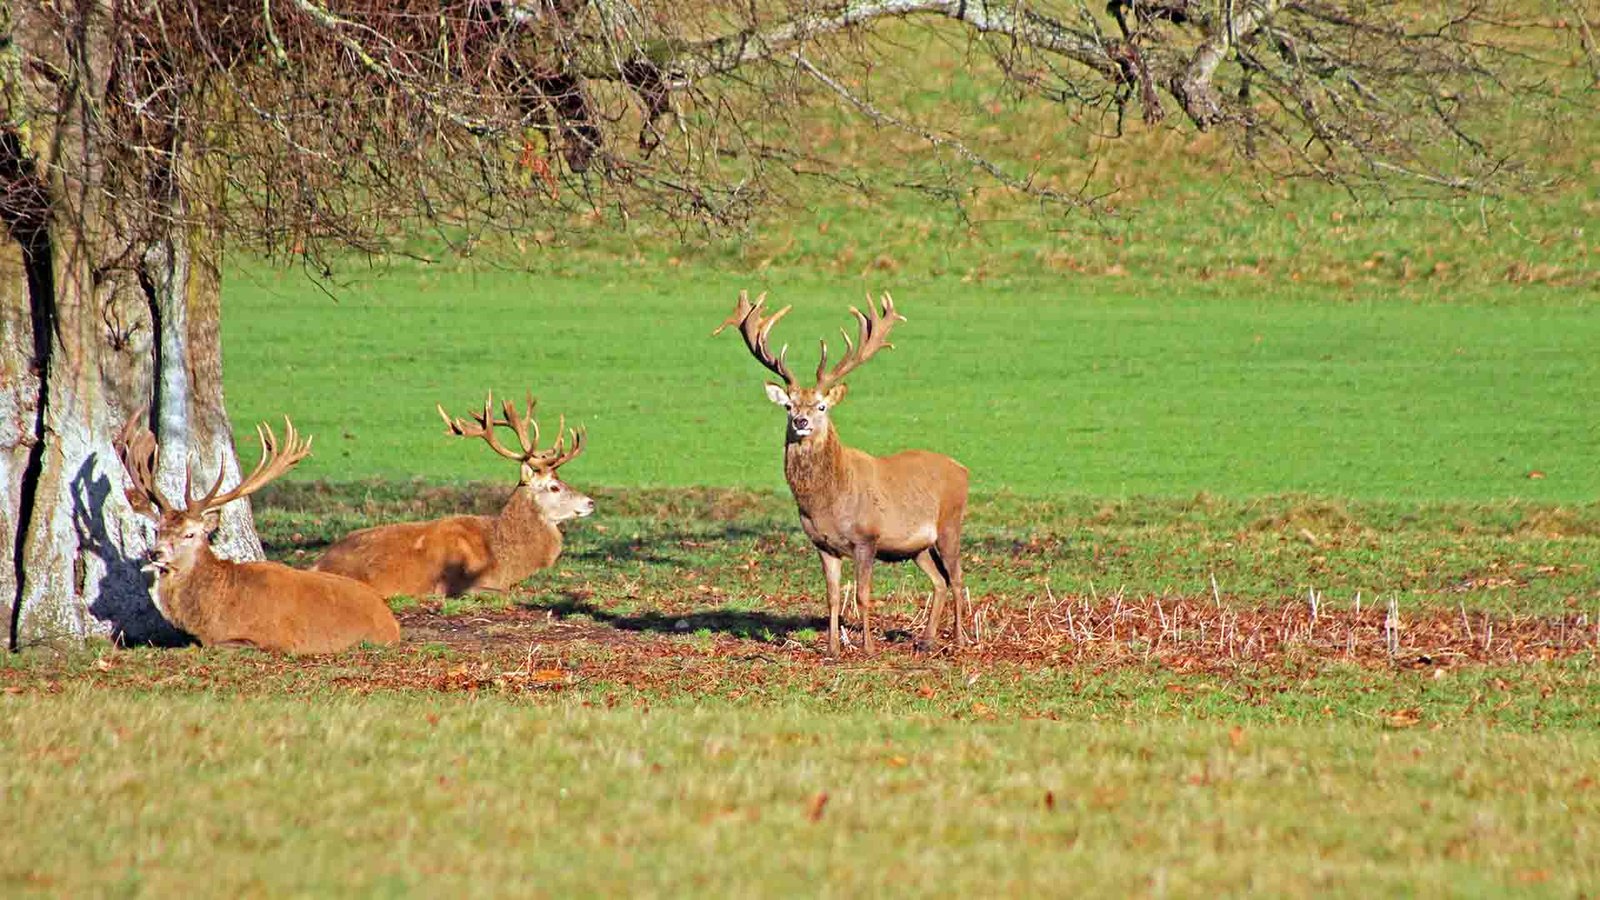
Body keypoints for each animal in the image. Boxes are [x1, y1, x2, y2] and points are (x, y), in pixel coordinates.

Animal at [114, 411, 402, 654]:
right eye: (157, 530)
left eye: (190, 534)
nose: (155, 553)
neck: (213, 613)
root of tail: (391, 621)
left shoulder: (273, 639)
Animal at [714, 290, 970, 657]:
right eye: (789, 405)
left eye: (822, 406)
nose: (801, 421)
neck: (828, 503)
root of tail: (963, 469)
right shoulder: (823, 544)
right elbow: (833, 597)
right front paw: (833, 648)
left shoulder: (867, 537)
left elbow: (862, 595)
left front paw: (868, 648)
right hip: (917, 546)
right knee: (939, 581)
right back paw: (926, 640)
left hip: (950, 523)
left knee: (958, 577)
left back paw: (962, 639)